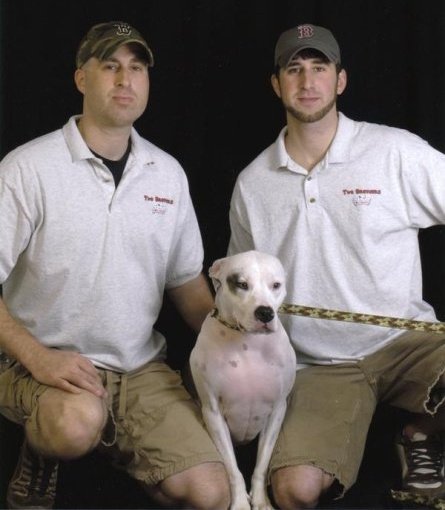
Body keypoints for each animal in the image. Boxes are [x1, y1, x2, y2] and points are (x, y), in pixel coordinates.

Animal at [190, 251, 296, 510]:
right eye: (241, 284)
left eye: (276, 285)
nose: (265, 312)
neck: (247, 343)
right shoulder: (213, 413)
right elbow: (233, 469)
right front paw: (239, 501)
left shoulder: (277, 410)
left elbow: (261, 465)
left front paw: (260, 500)